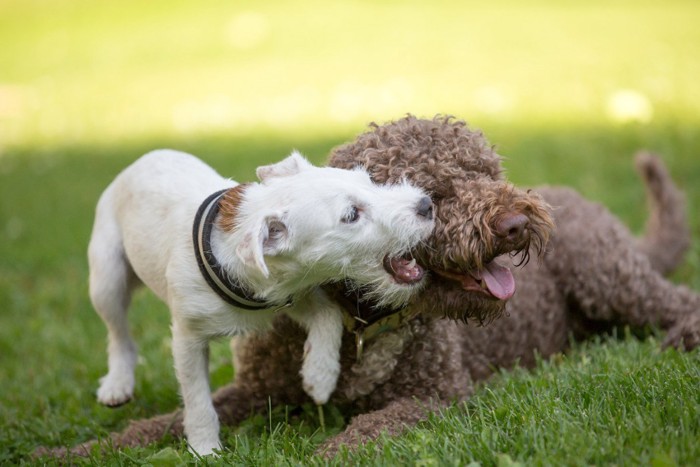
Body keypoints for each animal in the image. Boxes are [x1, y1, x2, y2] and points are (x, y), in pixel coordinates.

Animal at [87, 149, 432, 454]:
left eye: (369, 181)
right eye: (351, 215)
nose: (427, 204)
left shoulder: (293, 295)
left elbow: (330, 316)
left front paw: (319, 376)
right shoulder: (188, 339)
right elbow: (197, 399)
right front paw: (205, 449)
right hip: (107, 278)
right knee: (118, 332)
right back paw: (117, 384)